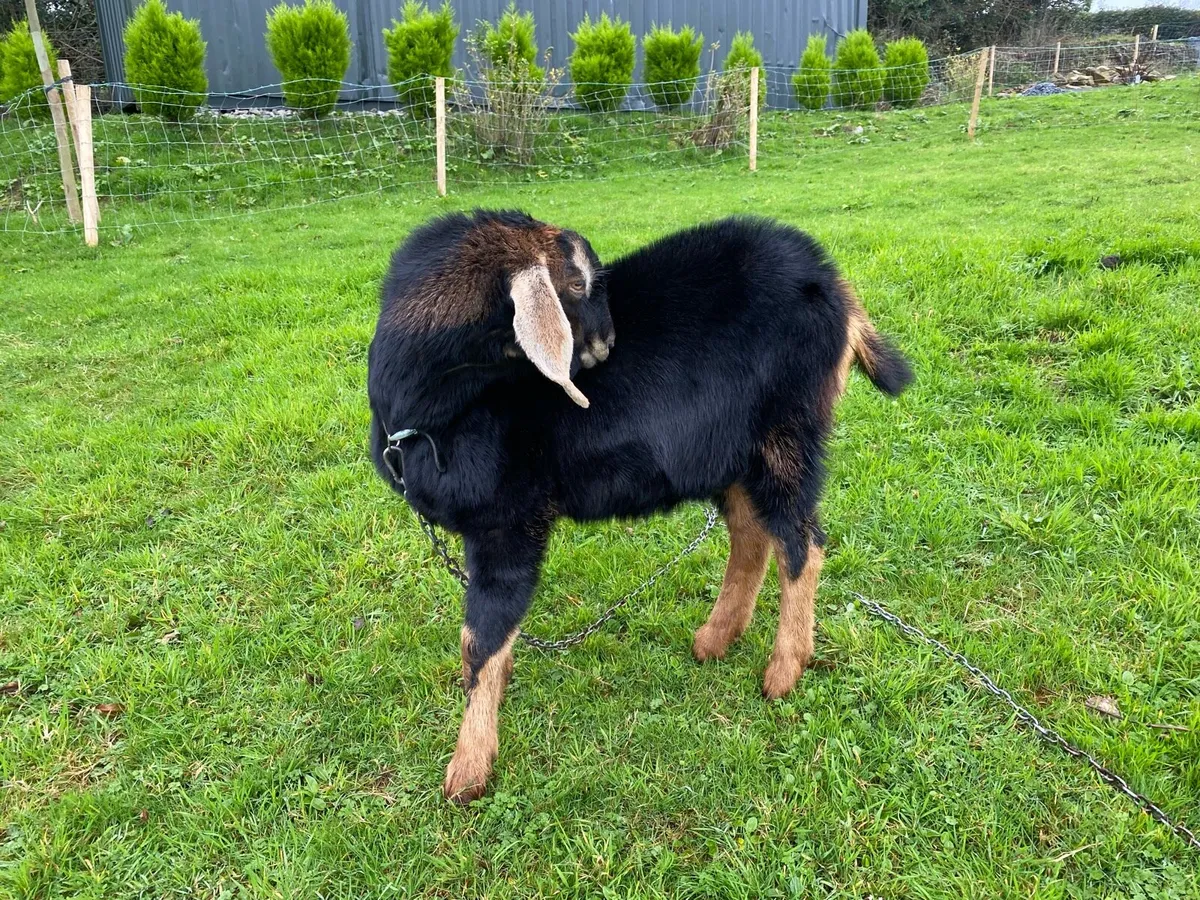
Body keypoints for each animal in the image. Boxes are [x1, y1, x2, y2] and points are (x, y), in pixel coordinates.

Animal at [367, 212, 913, 803]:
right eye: (577, 283)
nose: (608, 345)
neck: (426, 413)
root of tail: (837, 289)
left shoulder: (508, 522)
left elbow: (481, 640)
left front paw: (467, 770)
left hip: (786, 433)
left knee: (801, 542)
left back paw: (783, 671)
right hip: (733, 450)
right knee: (752, 533)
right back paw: (715, 639)